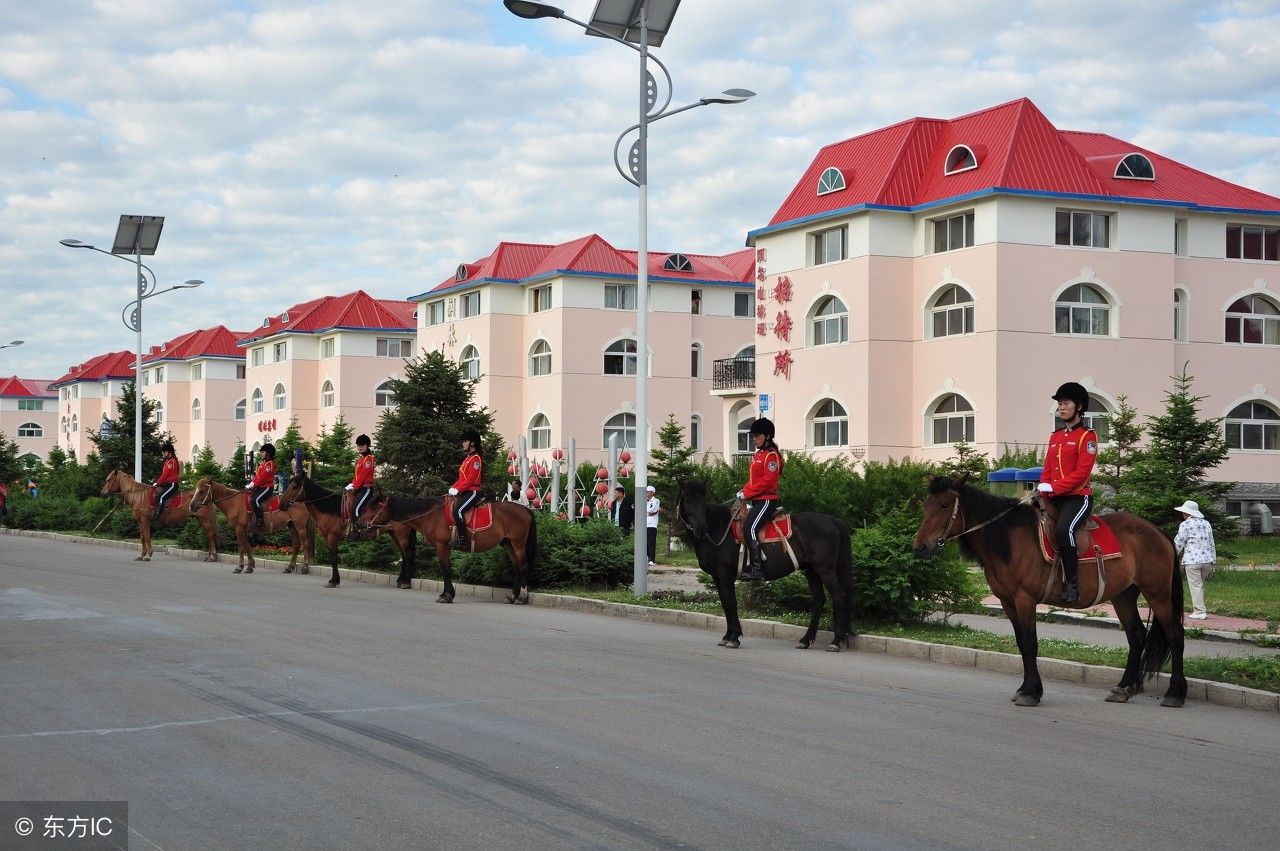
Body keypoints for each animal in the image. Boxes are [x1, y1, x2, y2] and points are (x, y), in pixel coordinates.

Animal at [190, 478, 318, 578]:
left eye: (202, 491)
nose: (192, 506)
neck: (234, 503)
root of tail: (302, 500)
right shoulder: (245, 530)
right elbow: (248, 547)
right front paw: (250, 566)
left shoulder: (239, 529)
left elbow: (241, 548)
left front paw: (240, 567)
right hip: (292, 526)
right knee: (296, 545)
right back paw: (289, 567)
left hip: (300, 526)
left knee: (305, 544)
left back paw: (305, 567)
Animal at [276, 473, 412, 588]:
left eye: (295, 486)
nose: (281, 504)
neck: (329, 508)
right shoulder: (328, 538)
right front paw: (335, 580)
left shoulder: (332, 538)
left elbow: (334, 558)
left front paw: (333, 581)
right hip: (394, 535)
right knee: (404, 556)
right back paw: (400, 581)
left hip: (401, 535)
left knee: (407, 555)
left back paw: (405, 583)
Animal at [363, 488, 537, 601]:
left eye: (374, 508)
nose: (359, 523)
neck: (432, 514)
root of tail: (525, 509)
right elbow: (446, 568)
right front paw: (448, 593)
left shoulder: (441, 546)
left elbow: (445, 568)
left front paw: (446, 595)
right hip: (508, 544)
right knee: (516, 567)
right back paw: (513, 596)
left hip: (518, 544)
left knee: (523, 566)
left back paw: (522, 597)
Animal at [675, 478, 855, 650]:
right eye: (688, 500)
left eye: (703, 501)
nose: (701, 529)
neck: (719, 528)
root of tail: (834, 520)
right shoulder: (717, 577)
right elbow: (725, 604)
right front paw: (726, 636)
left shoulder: (725, 574)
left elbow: (731, 603)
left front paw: (734, 637)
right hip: (811, 571)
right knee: (818, 600)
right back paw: (805, 640)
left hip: (825, 570)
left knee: (839, 596)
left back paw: (835, 641)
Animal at [916, 473, 1182, 706]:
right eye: (926, 504)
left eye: (944, 504)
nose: (920, 547)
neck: (1009, 539)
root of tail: (1156, 530)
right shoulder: (1007, 601)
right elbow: (1021, 643)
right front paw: (1026, 688)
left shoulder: (1024, 599)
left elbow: (1030, 643)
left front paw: (1031, 693)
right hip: (1123, 596)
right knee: (1136, 636)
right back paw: (1124, 688)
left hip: (1158, 594)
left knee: (1175, 635)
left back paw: (1174, 694)